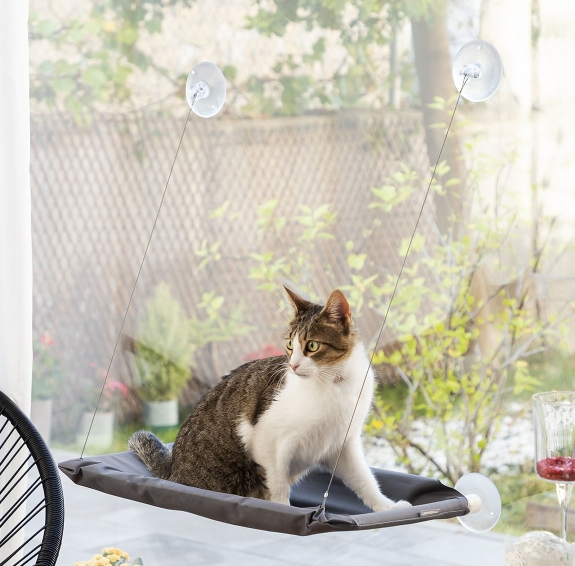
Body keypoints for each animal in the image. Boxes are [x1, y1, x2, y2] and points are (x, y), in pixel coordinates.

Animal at [129, 288, 410, 516]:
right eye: (289, 344)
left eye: (312, 345)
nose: (293, 365)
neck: (333, 384)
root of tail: (172, 470)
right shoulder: (268, 446)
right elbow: (277, 488)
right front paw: (285, 513)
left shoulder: (343, 444)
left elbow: (365, 480)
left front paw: (387, 507)